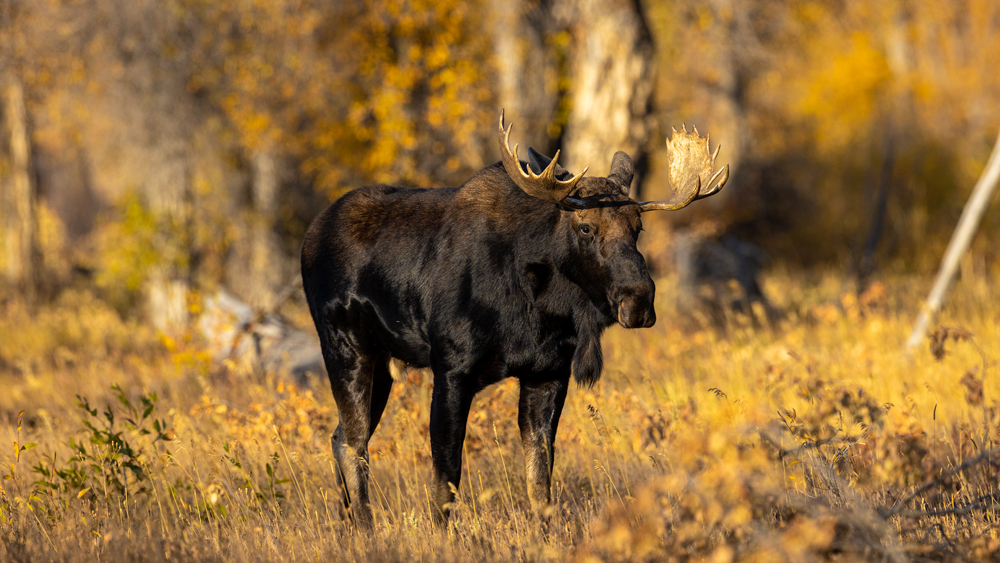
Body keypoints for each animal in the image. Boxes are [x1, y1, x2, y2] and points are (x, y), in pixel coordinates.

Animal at [296, 110, 728, 528]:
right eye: (586, 227)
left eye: (638, 227)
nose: (638, 301)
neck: (539, 310)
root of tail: (309, 237)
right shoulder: (452, 369)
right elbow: (446, 479)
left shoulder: (548, 373)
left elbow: (540, 482)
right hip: (345, 347)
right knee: (353, 443)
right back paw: (365, 528)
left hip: (382, 364)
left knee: (340, 436)